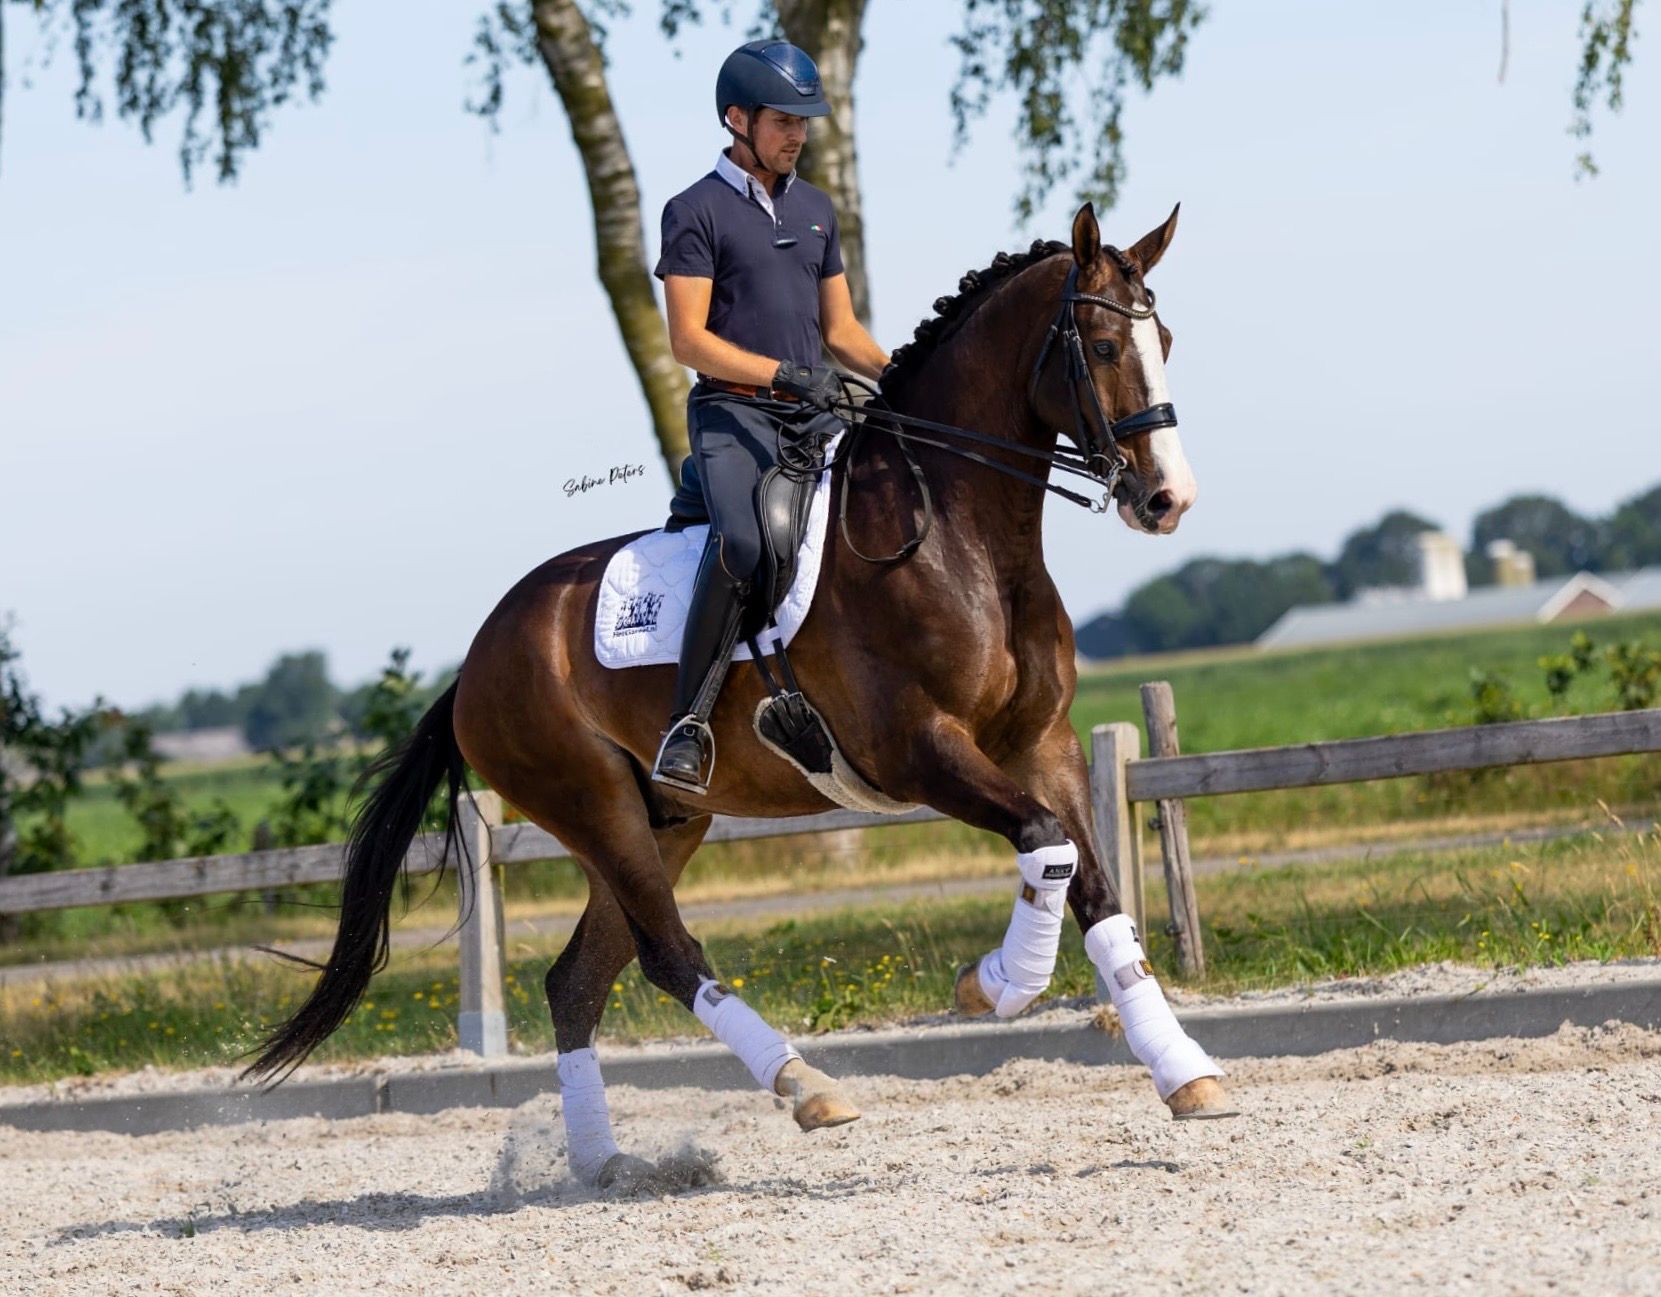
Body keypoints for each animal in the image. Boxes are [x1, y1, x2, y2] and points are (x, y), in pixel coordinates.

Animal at [245, 202, 1236, 1189]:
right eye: (1101, 346)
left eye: (1164, 341)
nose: (1167, 499)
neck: (962, 539)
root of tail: (478, 655)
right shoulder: (916, 748)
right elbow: (1044, 844)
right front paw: (990, 984)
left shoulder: (1042, 743)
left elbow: (1093, 886)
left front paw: (1186, 1074)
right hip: (593, 805)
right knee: (666, 954)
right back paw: (807, 1088)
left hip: (667, 819)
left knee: (577, 979)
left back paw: (605, 1163)